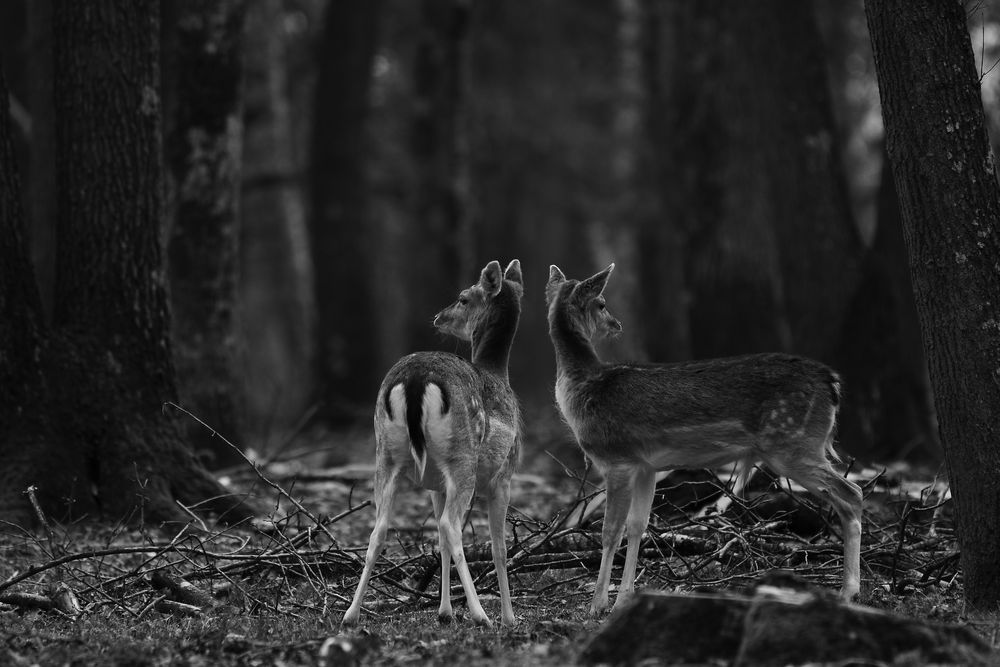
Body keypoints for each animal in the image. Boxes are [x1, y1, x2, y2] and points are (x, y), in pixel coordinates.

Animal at [342, 260, 524, 628]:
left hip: (386, 455)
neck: (498, 372)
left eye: (463, 298)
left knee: (379, 530)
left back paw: (350, 615)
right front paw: (509, 618)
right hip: (463, 460)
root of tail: (415, 381)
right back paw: (481, 615)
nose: (438, 317)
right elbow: (498, 549)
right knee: (451, 526)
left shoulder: (435, 485)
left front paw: (444, 611)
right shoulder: (504, 475)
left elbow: (438, 545)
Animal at [544, 262, 864, 616]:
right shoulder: (645, 466)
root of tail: (832, 382)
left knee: (852, 492)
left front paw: (597, 605)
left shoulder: (618, 458)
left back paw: (849, 591)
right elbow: (637, 526)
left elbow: (609, 531)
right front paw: (624, 600)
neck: (583, 389)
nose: (617, 324)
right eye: (601, 304)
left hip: (794, 444)